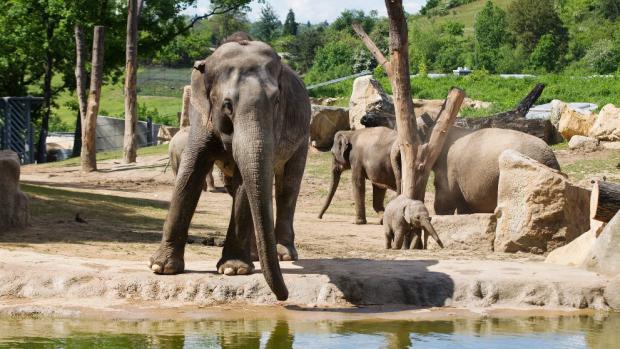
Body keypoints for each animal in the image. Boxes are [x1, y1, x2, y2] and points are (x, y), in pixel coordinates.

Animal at [150, 34, 310, 300]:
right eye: (227, 105)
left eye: (277, 100)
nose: (284, 296)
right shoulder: (201, 116)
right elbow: (190, 173)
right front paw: (161, 268)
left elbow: (247, 184)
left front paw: (233, 270)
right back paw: (256, 256)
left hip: (303, 137)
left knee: (288, 185)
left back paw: (282, 254)